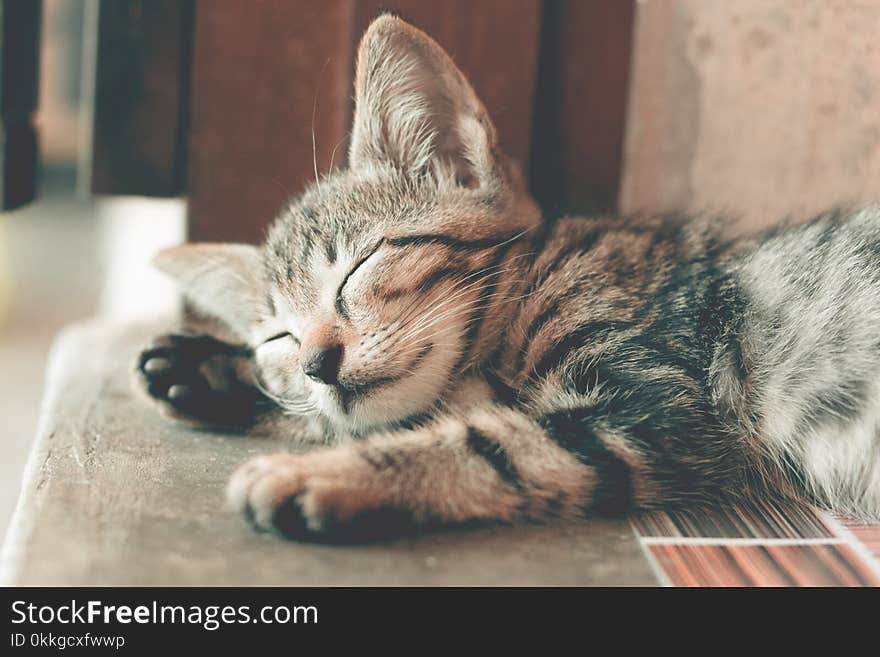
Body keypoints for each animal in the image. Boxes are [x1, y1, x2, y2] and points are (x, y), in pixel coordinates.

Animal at [134, 15, 880, 540]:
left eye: (359, 267)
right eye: (279, 339)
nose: (318, 362)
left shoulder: (659, 408)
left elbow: (495, 443)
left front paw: (317, 473)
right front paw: (211, 367)